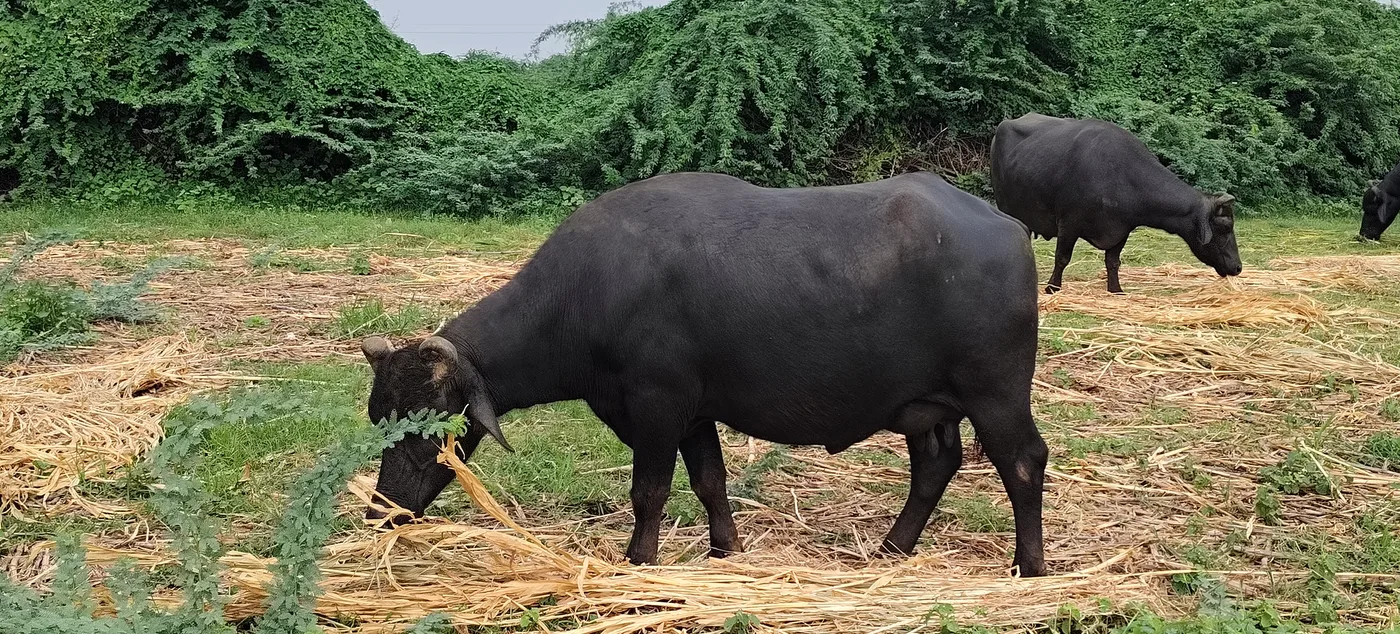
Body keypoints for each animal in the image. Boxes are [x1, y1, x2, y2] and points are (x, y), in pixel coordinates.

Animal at [360, 171, 1049, 576]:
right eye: (378, 416)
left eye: (432, 430)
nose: (382, 511)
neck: (587, 294)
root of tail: (1008, 226)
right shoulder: (694, 413)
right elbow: (710, 482)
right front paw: (726, 548)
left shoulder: (656, 407)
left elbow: (650, 492)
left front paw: (639, 559)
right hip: (926, 406)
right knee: (935, 463)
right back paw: (891, 548)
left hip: (996, 394)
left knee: (1022, 463)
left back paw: (1030, 564)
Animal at [991, 113, 1243, 294]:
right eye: (1224, 227)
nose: (1238, 267)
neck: (1120, 177)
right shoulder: (1069, 224)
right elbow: (1062, 258)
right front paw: (1053, 287)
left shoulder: (1121, 230)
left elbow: (1113, 262)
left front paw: (1116, 289)